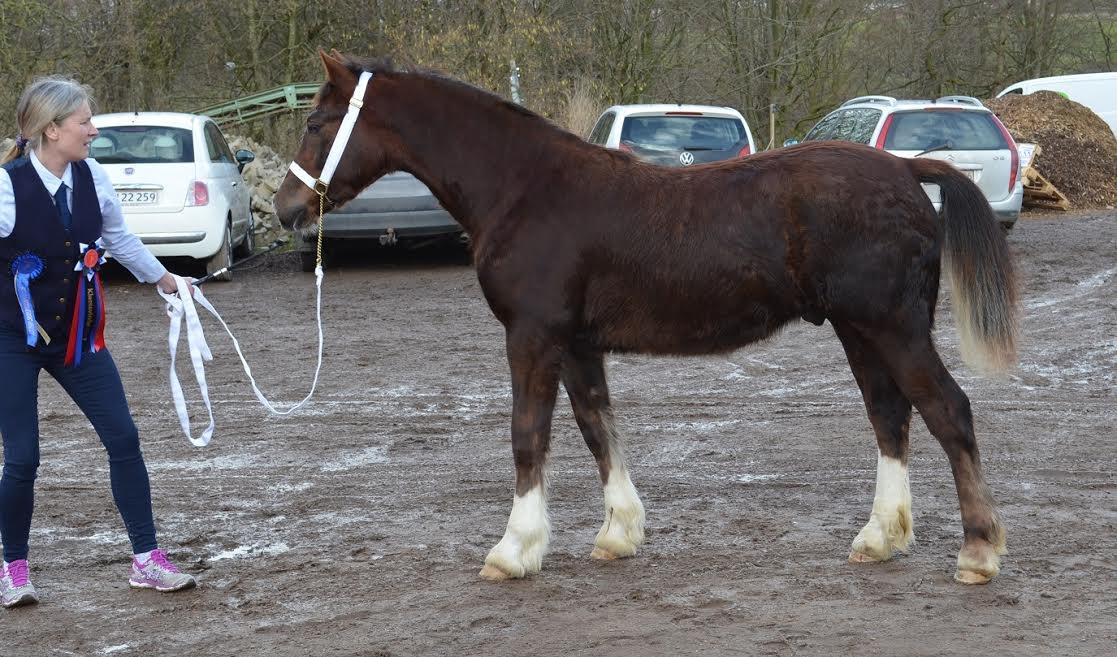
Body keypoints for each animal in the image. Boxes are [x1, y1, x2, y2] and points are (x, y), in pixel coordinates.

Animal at [274, 51, 1018, 585]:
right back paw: (880, 537)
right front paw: (617, 534)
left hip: (893, 328)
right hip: (859, 330)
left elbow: (528, 436)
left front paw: (514, 549)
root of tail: (907, 170)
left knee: (948, 411)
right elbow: (597, 429)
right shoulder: (577, 344)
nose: (285, 208)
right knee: (890, 417)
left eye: (314, 124)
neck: (524, 188)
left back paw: (978, 553)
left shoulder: (532, 337)